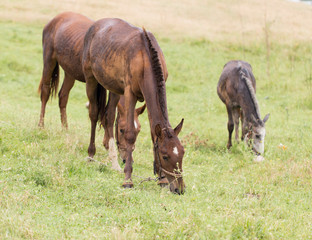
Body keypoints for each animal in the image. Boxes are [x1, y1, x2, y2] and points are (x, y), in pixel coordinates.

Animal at [37, 12, 146, 172]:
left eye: (138, 131)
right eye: (121, 130)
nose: (127, 160)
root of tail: (57, 18)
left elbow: (107, 113)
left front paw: (107, 144)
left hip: (70, 72)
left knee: (63, 97)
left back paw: (65, 130)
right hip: (49, 61)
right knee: (45, 92)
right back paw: (41, 126)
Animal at [83, 18, 185, 193]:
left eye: (182, 153)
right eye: (165, 156)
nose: (180, 188)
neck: (145, 57)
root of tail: (95, 25)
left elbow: (153, 133)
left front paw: (162, 179)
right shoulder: (130, 93)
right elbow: (130, 134)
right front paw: (128, 180)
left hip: (114, 88)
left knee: (109, 117)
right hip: (91, 79)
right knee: (94, 114)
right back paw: (91, 154)